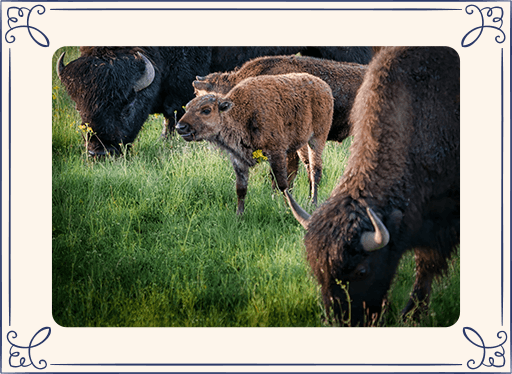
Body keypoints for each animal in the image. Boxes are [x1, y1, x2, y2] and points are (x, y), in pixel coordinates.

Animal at [177, 72, 336, 216]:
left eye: (206, 110)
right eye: (187, 108)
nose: (180, 127)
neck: (241, 113)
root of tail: (324, 86)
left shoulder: (276, 153)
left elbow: (282, 184)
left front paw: (287, 209)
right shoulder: (238, 159)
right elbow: (241, 189)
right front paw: (239, 216)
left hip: (317, 138)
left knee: (316, 171)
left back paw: (313, 203)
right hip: (301, 145)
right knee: (309, 168)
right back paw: (309, 200)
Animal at [284, 47, 460, 328]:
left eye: (362, 270)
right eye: (317, 270)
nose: (343, 320)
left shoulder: (444, 217)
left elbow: (427, 265)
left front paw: (411, 314)